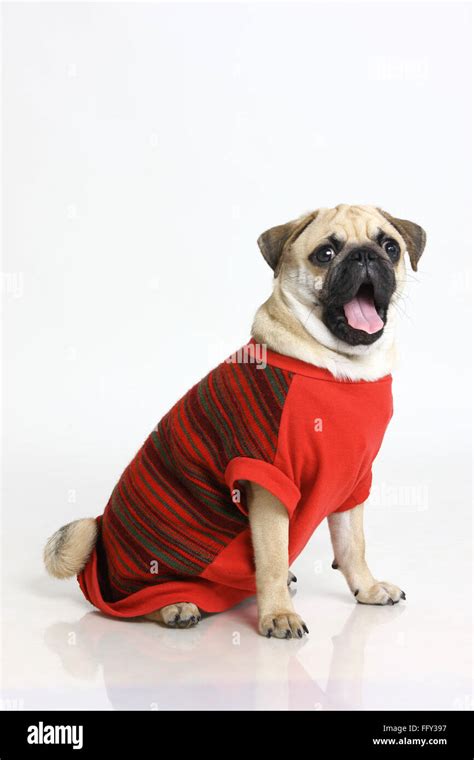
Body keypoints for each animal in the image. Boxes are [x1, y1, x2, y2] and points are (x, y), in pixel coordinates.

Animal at [44, 202, 426, 636]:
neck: (341, 367)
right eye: (325, 254)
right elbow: (272, 558)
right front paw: (278, 615)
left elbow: (352, 546)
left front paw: (367, 588)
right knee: (132, 606)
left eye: (390, 248)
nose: (365, 256)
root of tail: (97, 565)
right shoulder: (268, 483)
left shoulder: (353, 480)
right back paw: (175, 605)